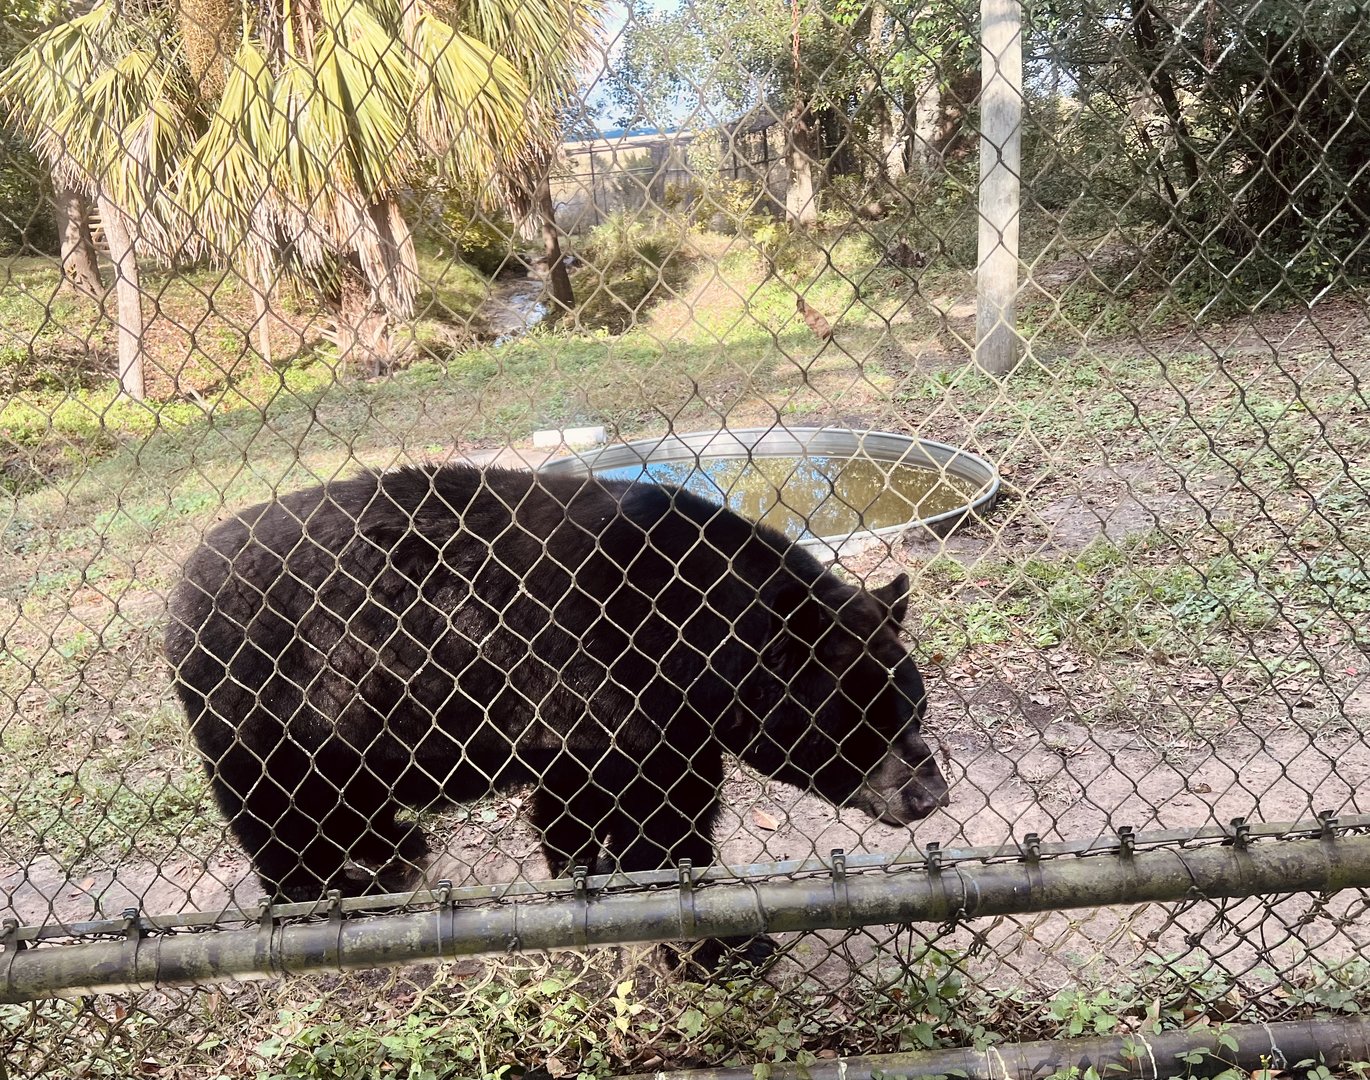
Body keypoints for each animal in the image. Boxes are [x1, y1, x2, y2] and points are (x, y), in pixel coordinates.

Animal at [166, 465, 950, 959]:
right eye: (866, 723)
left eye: (913, 708)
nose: (931, 794)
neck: (694, 632)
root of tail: (180, 592)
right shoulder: (608, 676)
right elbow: (663, 822)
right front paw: (724, 944)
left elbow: (580, 802)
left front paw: (584, 873)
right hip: (276, 697)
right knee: (277, 806)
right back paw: (318, 889)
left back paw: (392, 853)